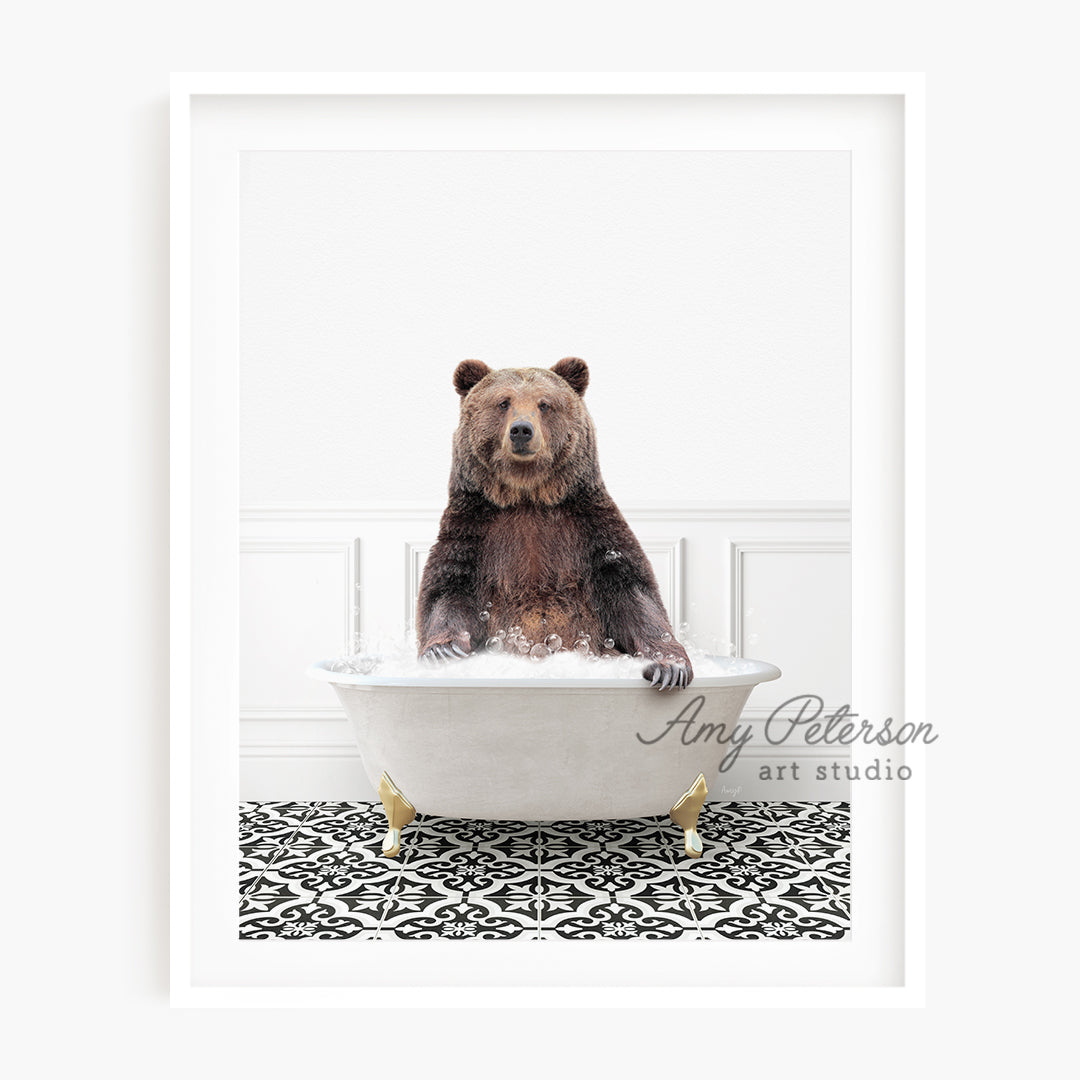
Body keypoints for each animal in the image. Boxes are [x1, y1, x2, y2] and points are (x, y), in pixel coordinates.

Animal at [412, 358, 691, 686]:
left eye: (544, 404)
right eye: (503, 402)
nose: (522, 430)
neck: (528, 496)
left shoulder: (589, 527)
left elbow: (634, 593)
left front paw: (669, 667)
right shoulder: (473, 529)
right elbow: (446, 590)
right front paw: (443, 650)